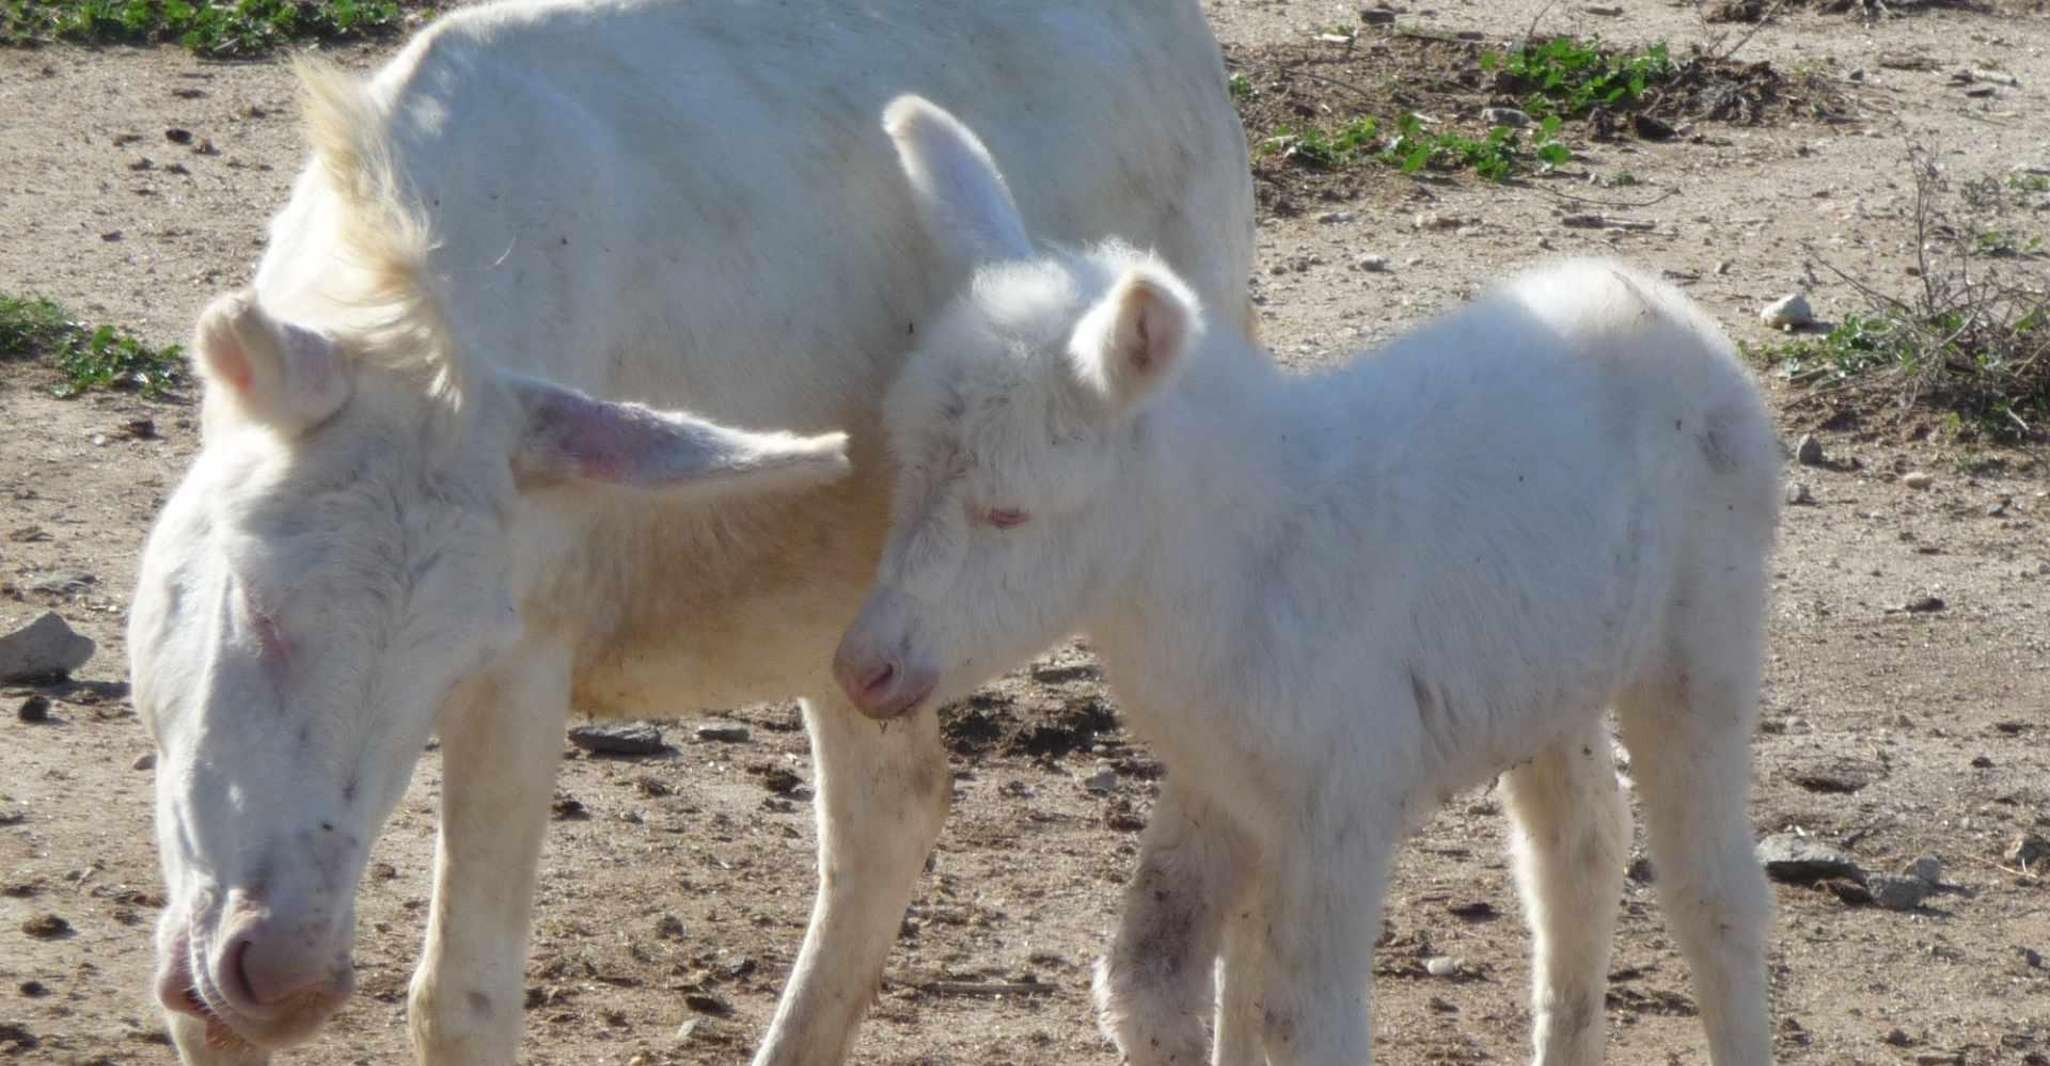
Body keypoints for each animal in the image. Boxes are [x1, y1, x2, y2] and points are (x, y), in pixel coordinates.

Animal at [832, 95, 1779, 1057]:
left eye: (1009, 512)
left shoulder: (1338, 806)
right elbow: (1174, 975)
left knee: (1715, 895)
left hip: (1702, 643)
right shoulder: (1225, 785)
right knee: (1579, 847)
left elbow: (1300, 1016)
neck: (1244, 558)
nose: (862, 668)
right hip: (1552, 670)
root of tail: (1658, 302)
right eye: (903, 474)